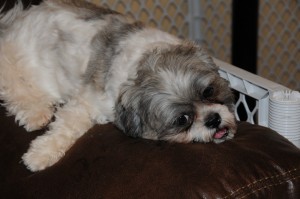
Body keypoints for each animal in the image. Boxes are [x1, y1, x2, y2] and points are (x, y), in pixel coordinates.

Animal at [0, 0, 237, 171]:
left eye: (208, 91)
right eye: (182, 119)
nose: (213, 119)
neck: (144, 63)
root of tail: (13, 22)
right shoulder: (87, 102)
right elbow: (65, 129)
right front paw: (40, 155)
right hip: (11, 61)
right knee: (14, 87)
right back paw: (35, 113)